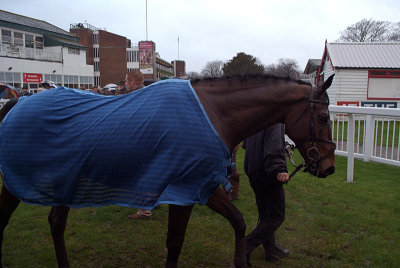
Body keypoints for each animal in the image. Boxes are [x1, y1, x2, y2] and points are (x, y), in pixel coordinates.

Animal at [0, 74, 336, 268]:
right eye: (322, 117)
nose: (329, 167)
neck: (213, 114)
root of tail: (17, 103)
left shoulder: (204, 187)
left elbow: (239, 223)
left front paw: (242, 261)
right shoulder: (184, 191)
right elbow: (175, 244)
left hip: (65, 181)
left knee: (56, 223)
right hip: (18, 183)